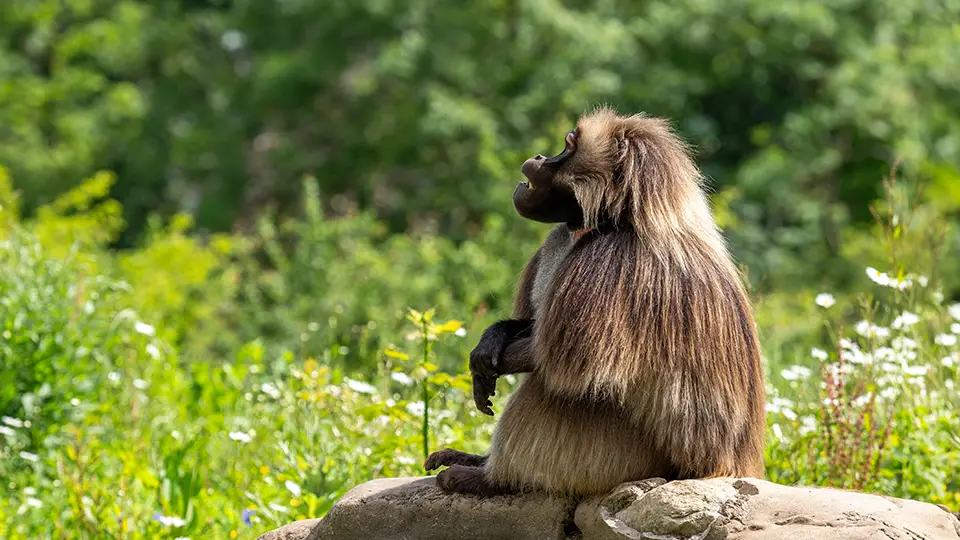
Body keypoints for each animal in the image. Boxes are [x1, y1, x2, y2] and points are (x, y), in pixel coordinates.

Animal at [423, 106, 767, 497]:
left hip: (623, 459)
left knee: (554, 382)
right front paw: (491, 340)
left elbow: (558, 355)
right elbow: (537, 327)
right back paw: (474, 461)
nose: (538, 157)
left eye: (567, 146)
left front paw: (482, 364)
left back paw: (489, 478)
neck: (623, 220)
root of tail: (721, 467)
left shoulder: (608, 259)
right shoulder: (558, 239)